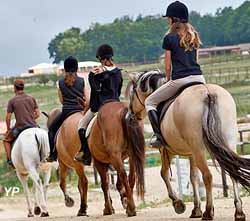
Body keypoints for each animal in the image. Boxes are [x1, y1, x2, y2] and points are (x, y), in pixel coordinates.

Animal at [126, 71, 250, 221]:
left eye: (132, 94)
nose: (129, 117)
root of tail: (207, 93)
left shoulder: (166, 151)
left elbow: (164, 173)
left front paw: (178, 203)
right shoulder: (191, 154)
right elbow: (193, 178)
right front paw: (196, 209)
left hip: (199, 149)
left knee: (208, 176)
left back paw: (208, 212)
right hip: (226, 142)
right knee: (232, 171)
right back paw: (239, 212)